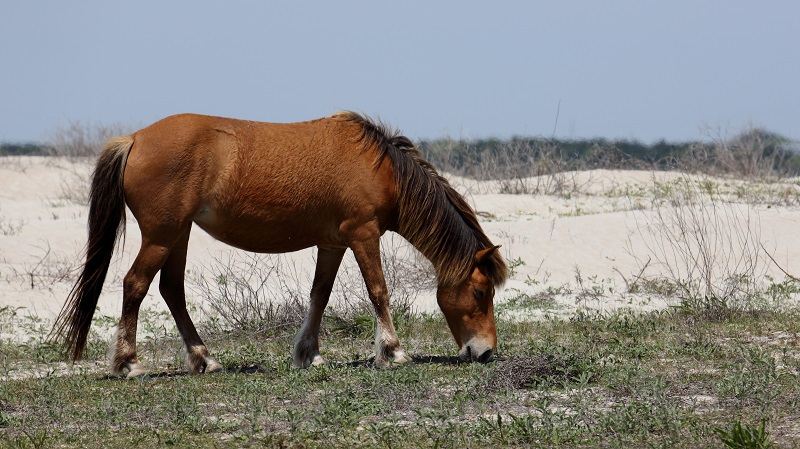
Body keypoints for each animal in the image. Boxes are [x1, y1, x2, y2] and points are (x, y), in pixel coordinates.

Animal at [53, 112, 510, 374]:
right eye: (480, 291)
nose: (485, 352)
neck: (381, 168)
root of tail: (134, 139)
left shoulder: (334, 243)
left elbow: (319, 295)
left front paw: (308, 354)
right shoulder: (363, 234)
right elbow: (378, 291)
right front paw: (393, 351)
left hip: (177, 235)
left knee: (171, 291)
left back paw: (204, 359)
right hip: (162, 235)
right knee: (135, 285)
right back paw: (127, 363)